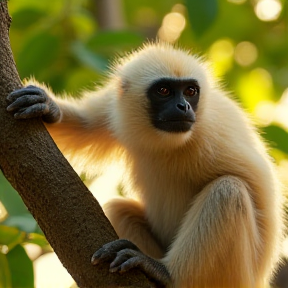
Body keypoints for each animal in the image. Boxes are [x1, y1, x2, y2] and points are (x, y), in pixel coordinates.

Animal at [6, 42, 284, 288]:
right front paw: (47, 108)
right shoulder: (118, 109)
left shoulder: (212, 136)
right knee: (120, 209)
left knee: (229, 189)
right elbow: (87, 127)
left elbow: (262, 198)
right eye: (164, 91)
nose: (183, 106)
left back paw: (165, 273)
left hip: (235, 277)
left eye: (190, 92)